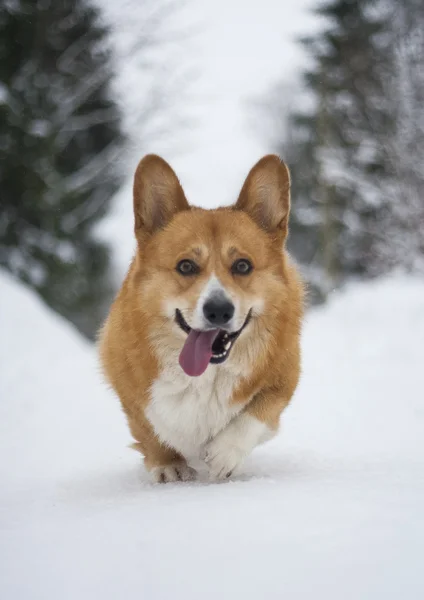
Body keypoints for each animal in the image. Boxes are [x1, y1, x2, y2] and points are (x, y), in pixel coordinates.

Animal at [98, 155, 304, 482]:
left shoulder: (284, 378)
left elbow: (259, 412)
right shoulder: (128, 388)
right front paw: (168, 465)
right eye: (186, 266)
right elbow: (148, 426)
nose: (218, 310)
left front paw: (224, 454)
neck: (206, 376)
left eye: (243, 265)